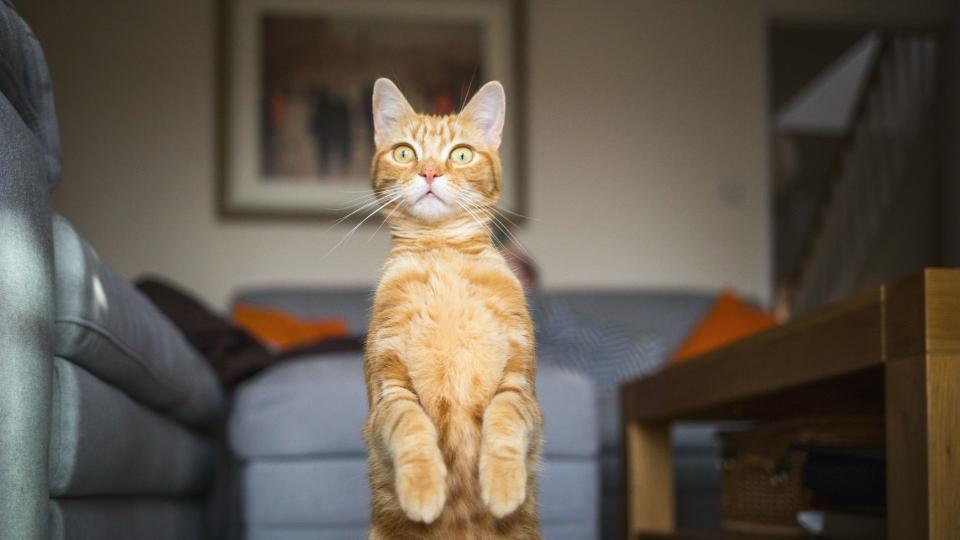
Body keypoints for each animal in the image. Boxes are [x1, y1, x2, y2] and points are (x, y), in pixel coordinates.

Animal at [362, 77, 544, 540]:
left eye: (460, 154)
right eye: (405, 152)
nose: (429, 172)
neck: (442, 254)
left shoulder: (519, 382)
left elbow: (504, 420)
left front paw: (503, 484)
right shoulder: (388, 387)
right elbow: (411, 427)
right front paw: (423, 488)